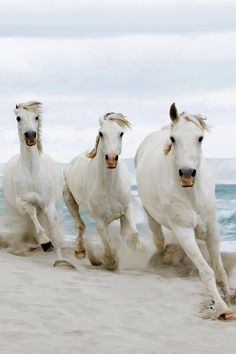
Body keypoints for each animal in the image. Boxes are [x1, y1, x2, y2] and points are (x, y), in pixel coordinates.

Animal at [0, 101, 73, 266]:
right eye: (18, 118)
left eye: (36, 117)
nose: (31, 135)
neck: (33, 174)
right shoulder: (22, 203)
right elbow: (32, 212)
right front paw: (45, 243)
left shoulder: (49, 205)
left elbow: (53, 229)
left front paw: (61, 261)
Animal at [63, 112, 139, 270]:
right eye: (101, 133)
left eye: (121, 133)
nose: (111, 159)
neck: (110, 187)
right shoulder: (99, 220)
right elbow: (108, 245)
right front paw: (109, 261)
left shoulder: (126, 210)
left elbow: (132, 235)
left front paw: (131, 248)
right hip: (68, 199)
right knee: (80, 225)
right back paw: (80, 251)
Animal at [136, 103, 233, 320]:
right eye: (173, 139)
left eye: (200, 138)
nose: (187, 174)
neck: (192, 195)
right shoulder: (183, 232)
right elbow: (207, 272)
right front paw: (223, 309)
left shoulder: (212, 230)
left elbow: (220, 270)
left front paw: (230, 299)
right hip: (152, 218)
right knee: (159, 241)